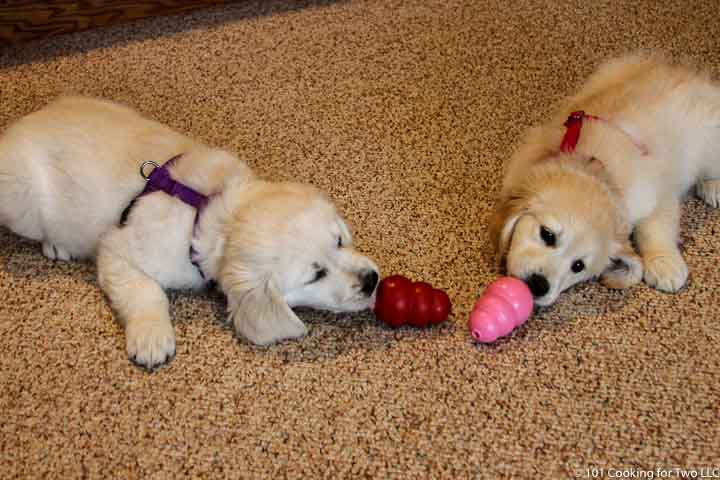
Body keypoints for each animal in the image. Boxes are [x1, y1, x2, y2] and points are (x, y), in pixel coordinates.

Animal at [0, 95, 380, 370]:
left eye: (339, 240)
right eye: (315, 276)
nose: (372, 281)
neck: (212, 211)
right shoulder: (117, 250)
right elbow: (145, 290)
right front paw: (151, 337)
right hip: (19, 199)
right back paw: (56, 244)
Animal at [490, 52, 720, 306]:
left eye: (578, 266)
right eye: (547, 235)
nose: (538, 285)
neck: (596, 166)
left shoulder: (658, 192)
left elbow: (656, 227)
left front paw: (664, 263)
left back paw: (712, 186)